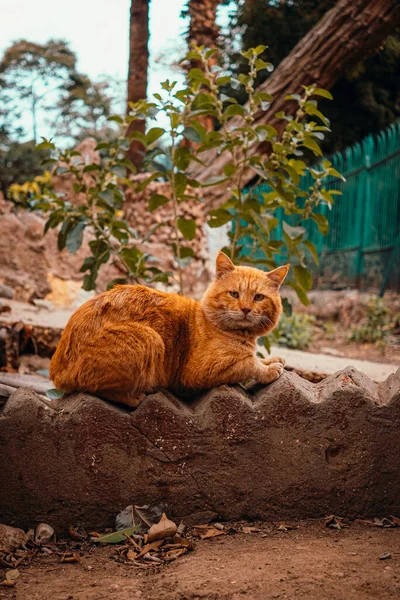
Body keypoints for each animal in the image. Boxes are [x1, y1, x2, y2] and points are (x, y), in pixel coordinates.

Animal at [50, 251, 290, 406]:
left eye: (258, 297)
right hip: (150, 337)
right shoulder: (203, 371)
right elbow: (247, 365)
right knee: (94, 387)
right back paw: (134, 396)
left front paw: (271, 360)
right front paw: (268, 369)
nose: (246, 309)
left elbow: (254, 358)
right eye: (234, 294)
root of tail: (56, 370)